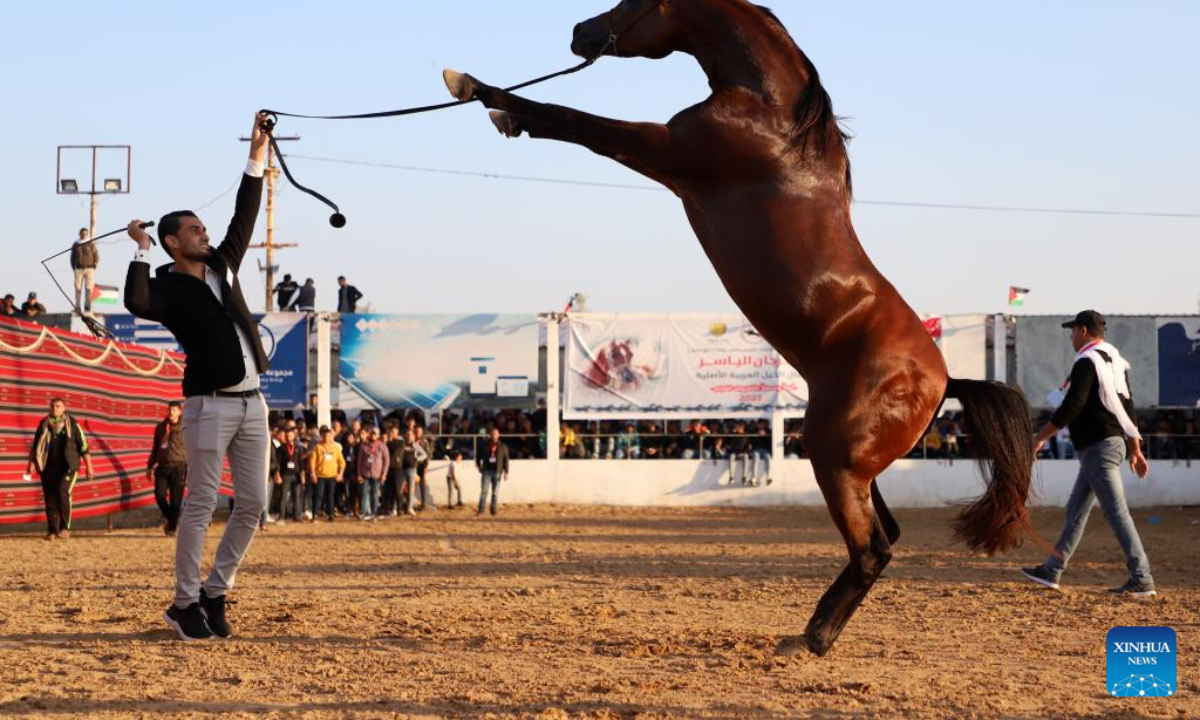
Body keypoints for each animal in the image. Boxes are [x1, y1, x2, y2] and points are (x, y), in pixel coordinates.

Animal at [441, 0, 1032, 657]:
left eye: (634, 1)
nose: (579, 33)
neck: (771, 114)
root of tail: (945, 379)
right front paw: (500, 112)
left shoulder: (661, 147)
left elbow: (577, 120)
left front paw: (475, 88)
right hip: (855, 463)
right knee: (886, 536)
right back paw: (810, 631)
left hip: (832, 454)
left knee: (873, 549)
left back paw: (813, 639)